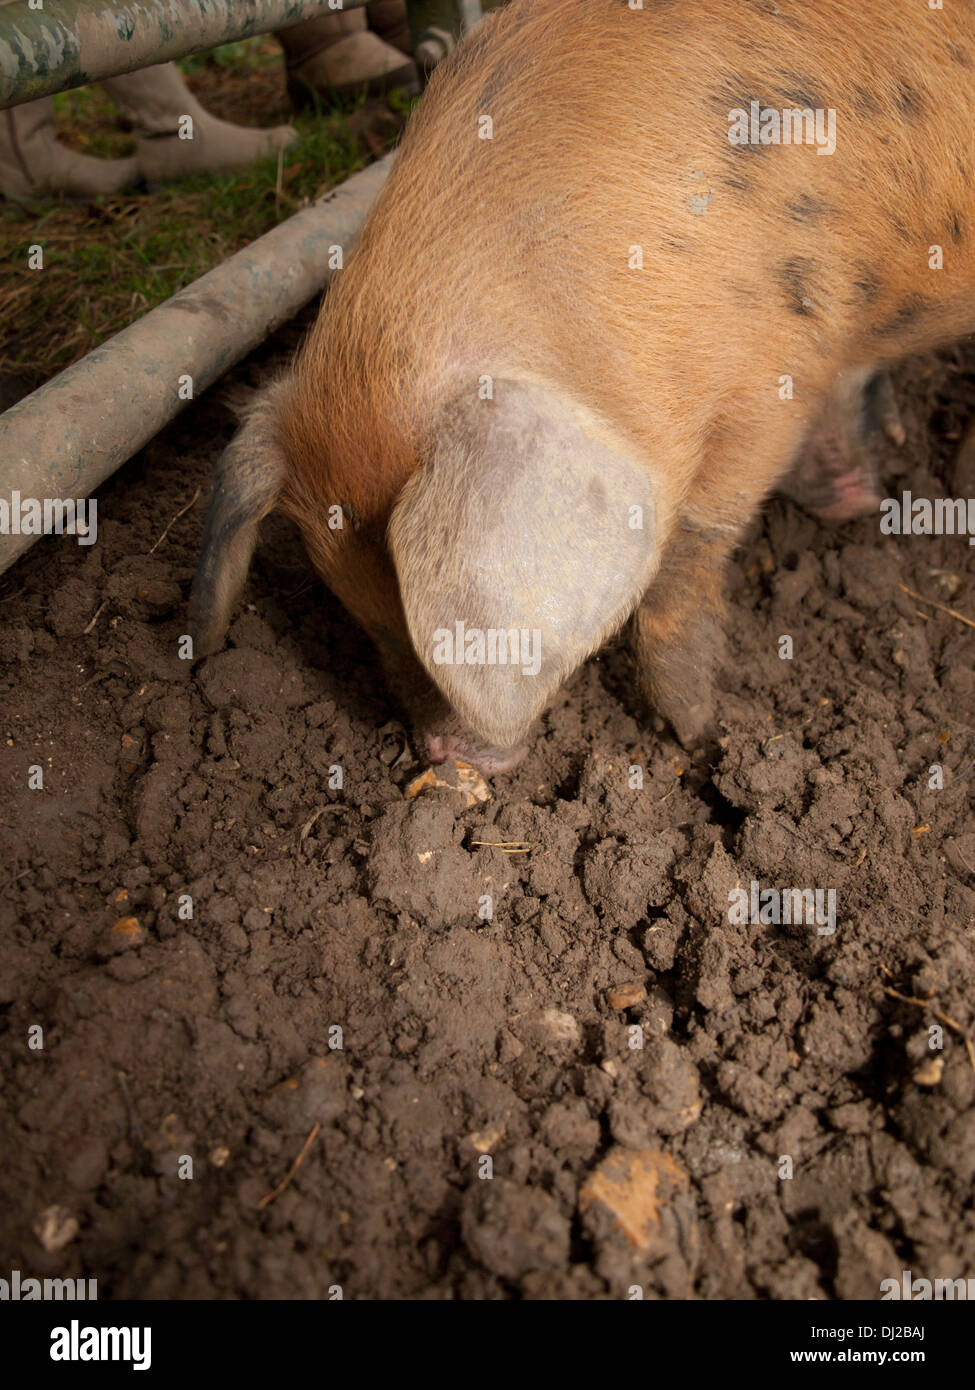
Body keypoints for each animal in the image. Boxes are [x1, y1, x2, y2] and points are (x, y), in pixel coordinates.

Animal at [187, 0, 973, 772]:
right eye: (358, 611)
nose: (439, 754)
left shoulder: (768, 381)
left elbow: (690, 548)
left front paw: (699, 734)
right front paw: (851, 499)